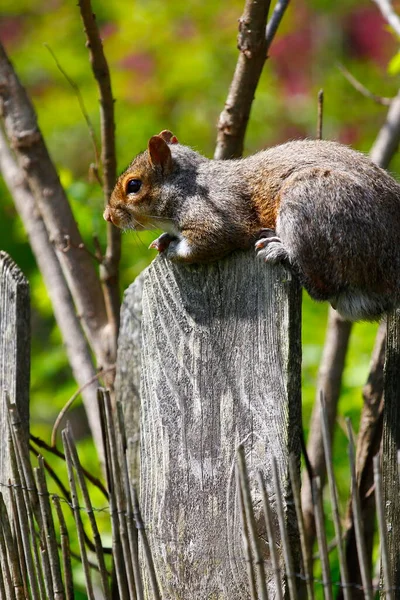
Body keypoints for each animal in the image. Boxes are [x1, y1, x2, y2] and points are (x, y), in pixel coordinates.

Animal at [104, 129, 400, 322]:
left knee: (323, 287)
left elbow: (207, 243)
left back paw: (279, 249)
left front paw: (173, 248)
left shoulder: (216, 215)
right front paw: (164, 238)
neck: (186, 185)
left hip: (311, 202)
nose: (108, 216)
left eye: (134, 185)